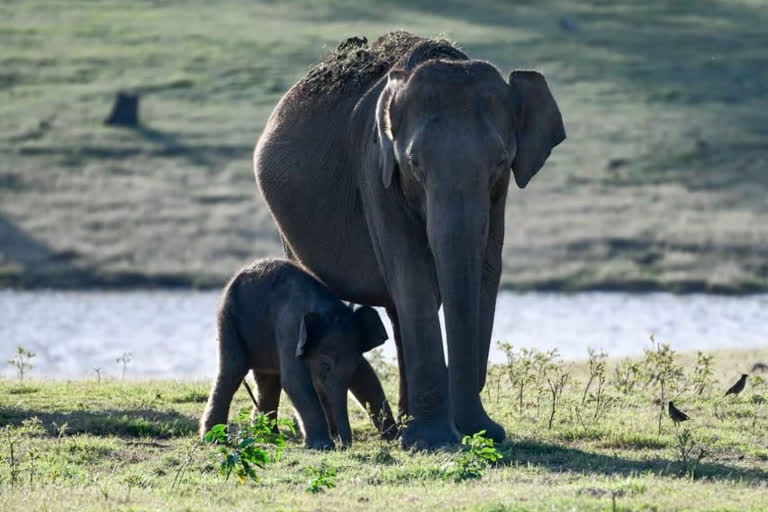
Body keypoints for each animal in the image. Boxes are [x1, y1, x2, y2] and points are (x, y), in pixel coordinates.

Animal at [201, 260, 396, 448]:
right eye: (325, 365)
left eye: (353, 365)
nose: (344, 445)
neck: (325, 308)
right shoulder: (290, 329)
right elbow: (295, 381)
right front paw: (323, 446)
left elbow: (365, 375)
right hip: (228, 318)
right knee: (233, 371)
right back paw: (215, 438)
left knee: (268, 380)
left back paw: (268, 434)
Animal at [254, 33, 564, 448]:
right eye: (415, 164)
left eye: (500, 161)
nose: (479, 429)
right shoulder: (375, 170)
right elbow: (413, 274)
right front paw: (434, 441)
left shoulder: (498, 195)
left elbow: (485, 270)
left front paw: (472, 433)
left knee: (398, 312)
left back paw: (402, 424)